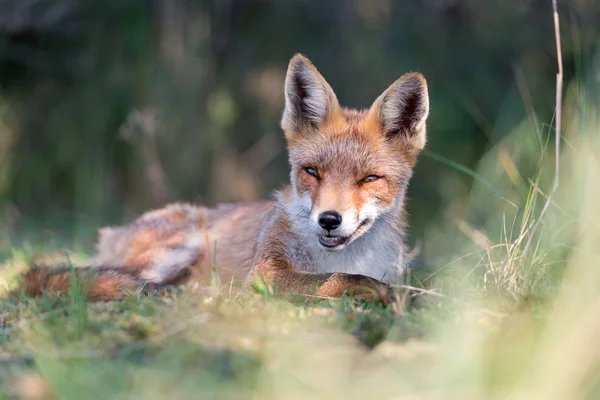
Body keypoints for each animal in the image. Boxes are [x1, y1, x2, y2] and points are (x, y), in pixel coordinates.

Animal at [21, 54, 428, 304]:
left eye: (369, 179)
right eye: (312, 172)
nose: (329, 220)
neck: (346, 256)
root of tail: (110, 234)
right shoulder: (265, 273)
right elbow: (348, 281)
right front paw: (395, 297)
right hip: (178, 248)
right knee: (102, 279)